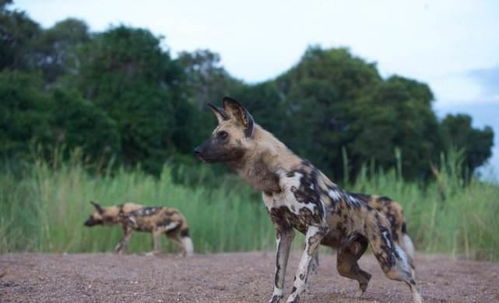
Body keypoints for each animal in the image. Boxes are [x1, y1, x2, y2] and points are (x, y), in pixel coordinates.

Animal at [195, 97, 422, 303]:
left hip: (388, 262)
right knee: (366, 276)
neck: (276, 177)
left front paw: (294, 298)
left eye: (223, 135)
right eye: (215, 134)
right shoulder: (283, 232)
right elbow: (278, 275)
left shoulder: (315, 229)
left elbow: (300, 275)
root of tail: (378, 212)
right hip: (345, 264)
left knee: (411, 277)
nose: (196, 150)